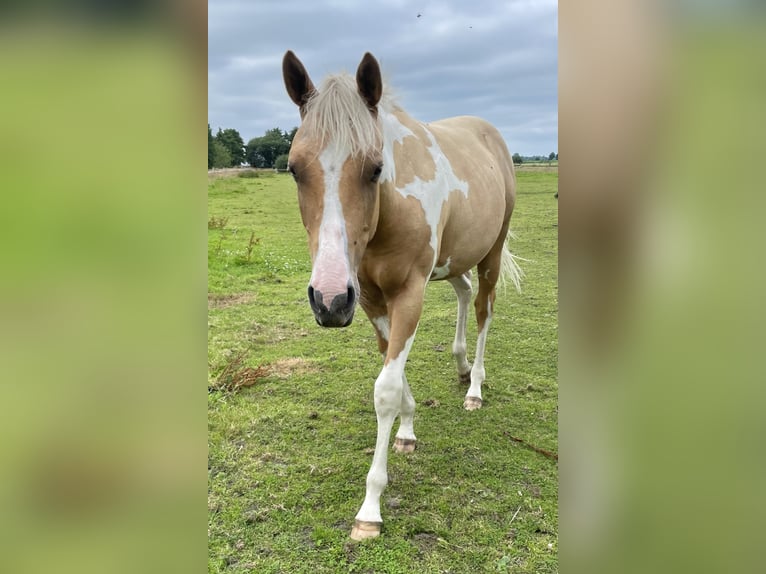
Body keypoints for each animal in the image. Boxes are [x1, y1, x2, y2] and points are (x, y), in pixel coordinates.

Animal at [282, 51, 523, 540]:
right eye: (294, 168)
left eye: (376, 167)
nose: (328, 300)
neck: (390, 209)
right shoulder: (370, 300)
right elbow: (392, 368)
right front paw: (408, 429)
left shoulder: (409, 293)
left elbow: (386, 389)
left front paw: (370, 508)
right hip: (453, 261)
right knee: (465, 294)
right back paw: (461, 365)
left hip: (490, 253)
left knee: (484, 308)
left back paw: (475, 385)